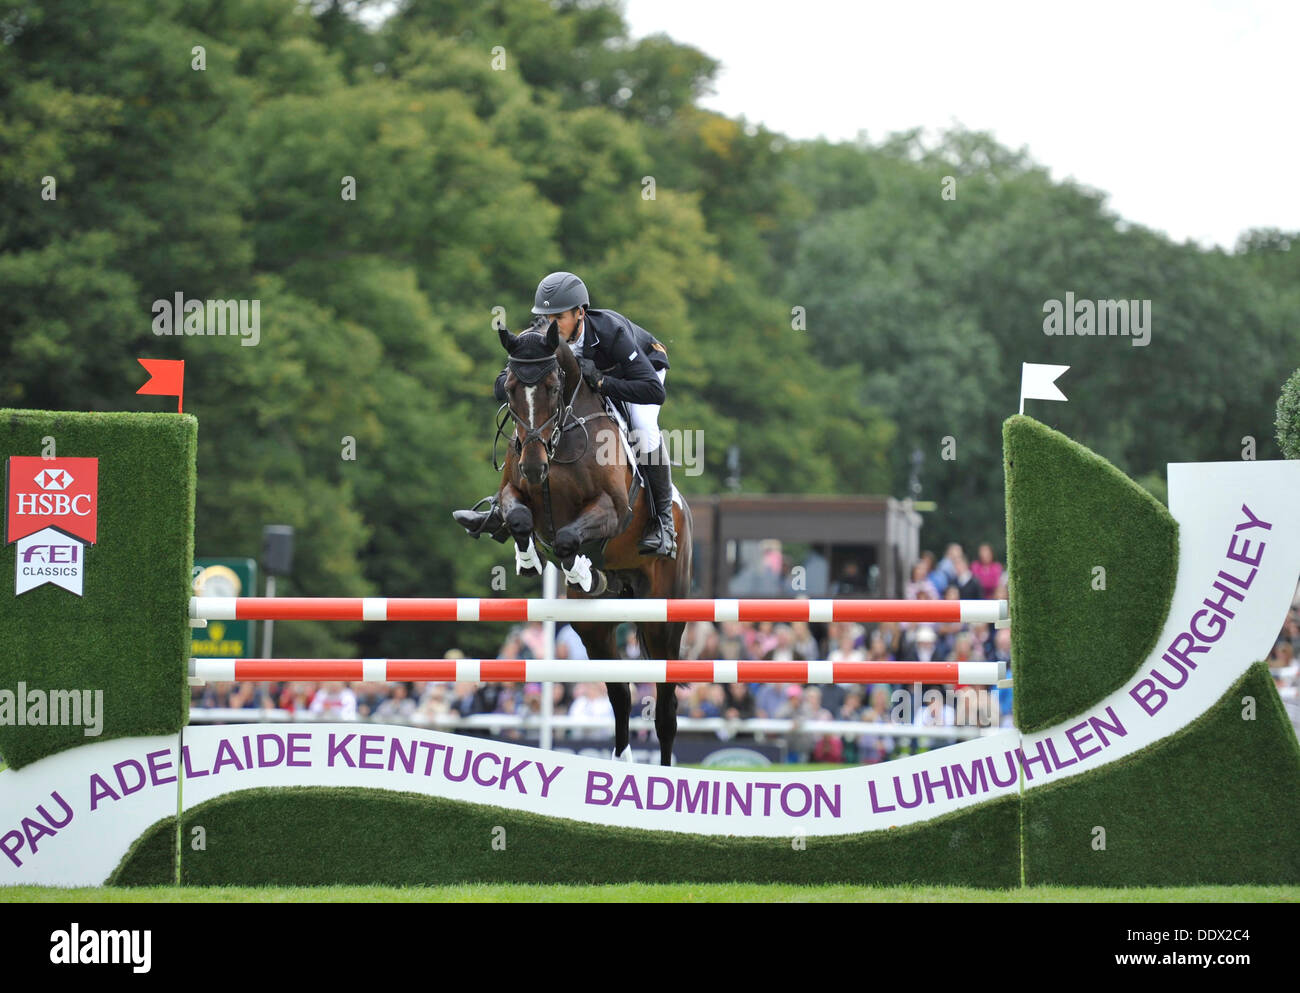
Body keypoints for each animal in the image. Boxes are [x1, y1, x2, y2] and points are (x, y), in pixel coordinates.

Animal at [491, 322, 691, 764]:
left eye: (552, 387)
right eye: (510, 388)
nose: (534, 466)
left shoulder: (612, 509)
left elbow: (568, 536)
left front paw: (581, 568)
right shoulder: (514, 491)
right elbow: (518, 518)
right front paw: (530, 558)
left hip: (663, 616)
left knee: (665, 709)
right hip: (594, 628)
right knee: (620, 695)